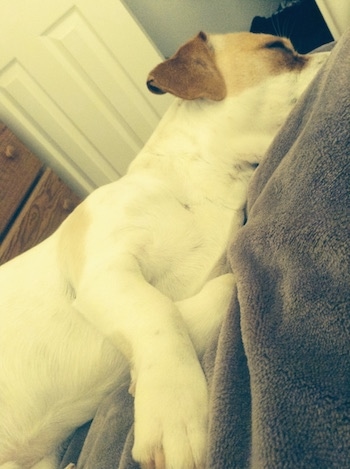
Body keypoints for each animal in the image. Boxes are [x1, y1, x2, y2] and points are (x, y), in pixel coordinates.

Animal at [0, 31, 330, 466]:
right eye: (277, 48)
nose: (334, 51)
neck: (206, 178)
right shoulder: (106, 269)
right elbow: (157, 309)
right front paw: (175, 412)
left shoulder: (212, 269)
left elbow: (217, 290)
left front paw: (137, 378)